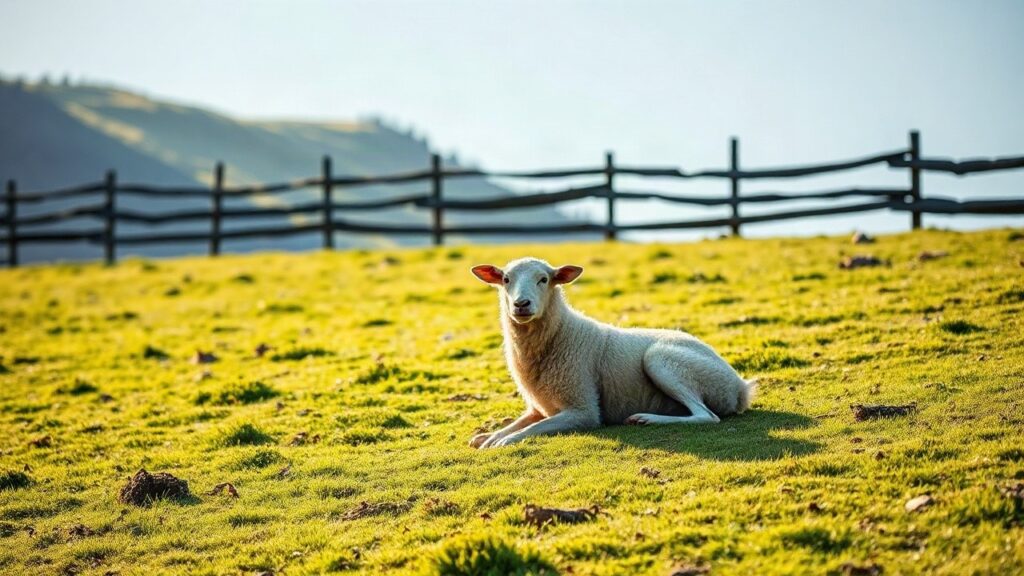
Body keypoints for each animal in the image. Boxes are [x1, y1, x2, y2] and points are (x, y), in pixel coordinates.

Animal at [468, 257, 755, 449]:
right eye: (506, 280)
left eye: (544, 279)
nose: (521, 305)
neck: (562, 333)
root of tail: (741, 388)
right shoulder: (538, 408)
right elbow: (518, 423)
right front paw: (488, 436)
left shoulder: (583, 410)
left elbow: (533, 428)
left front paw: (502, 441)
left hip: (663, 360)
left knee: (707, 416)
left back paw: (646, 419)